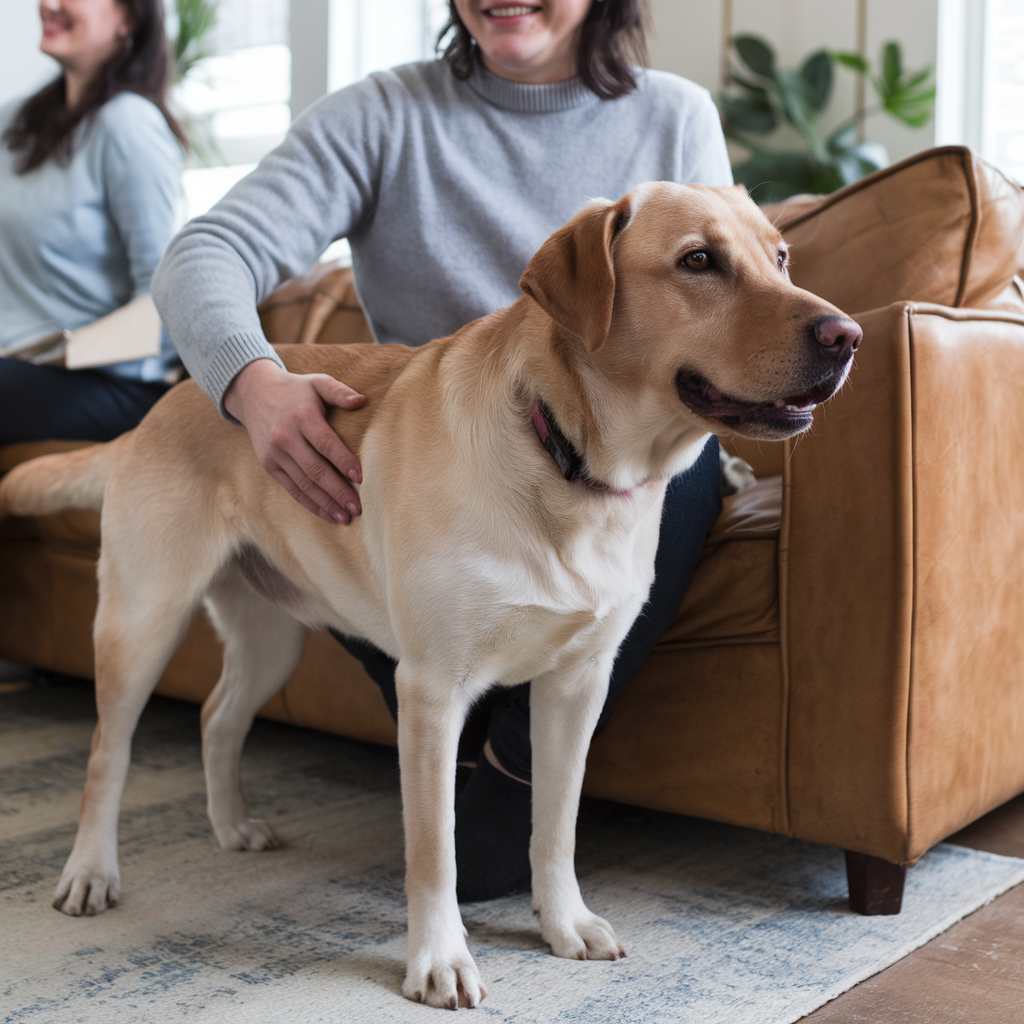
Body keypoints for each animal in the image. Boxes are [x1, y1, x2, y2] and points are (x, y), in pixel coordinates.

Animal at [2, 182, 856, 1007]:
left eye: (781, 257)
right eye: (698, 261)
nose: (849, 335)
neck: (565, 458)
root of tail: (175, 399)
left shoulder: (578, 684)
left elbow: (557, 823)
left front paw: (564, 922)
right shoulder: (433, 690)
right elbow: (435, 851)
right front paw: (440, 961)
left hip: (272, 639)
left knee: (217, 717)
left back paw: (231, 825)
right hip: (143, 620)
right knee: (107, 755)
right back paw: (90, 872)